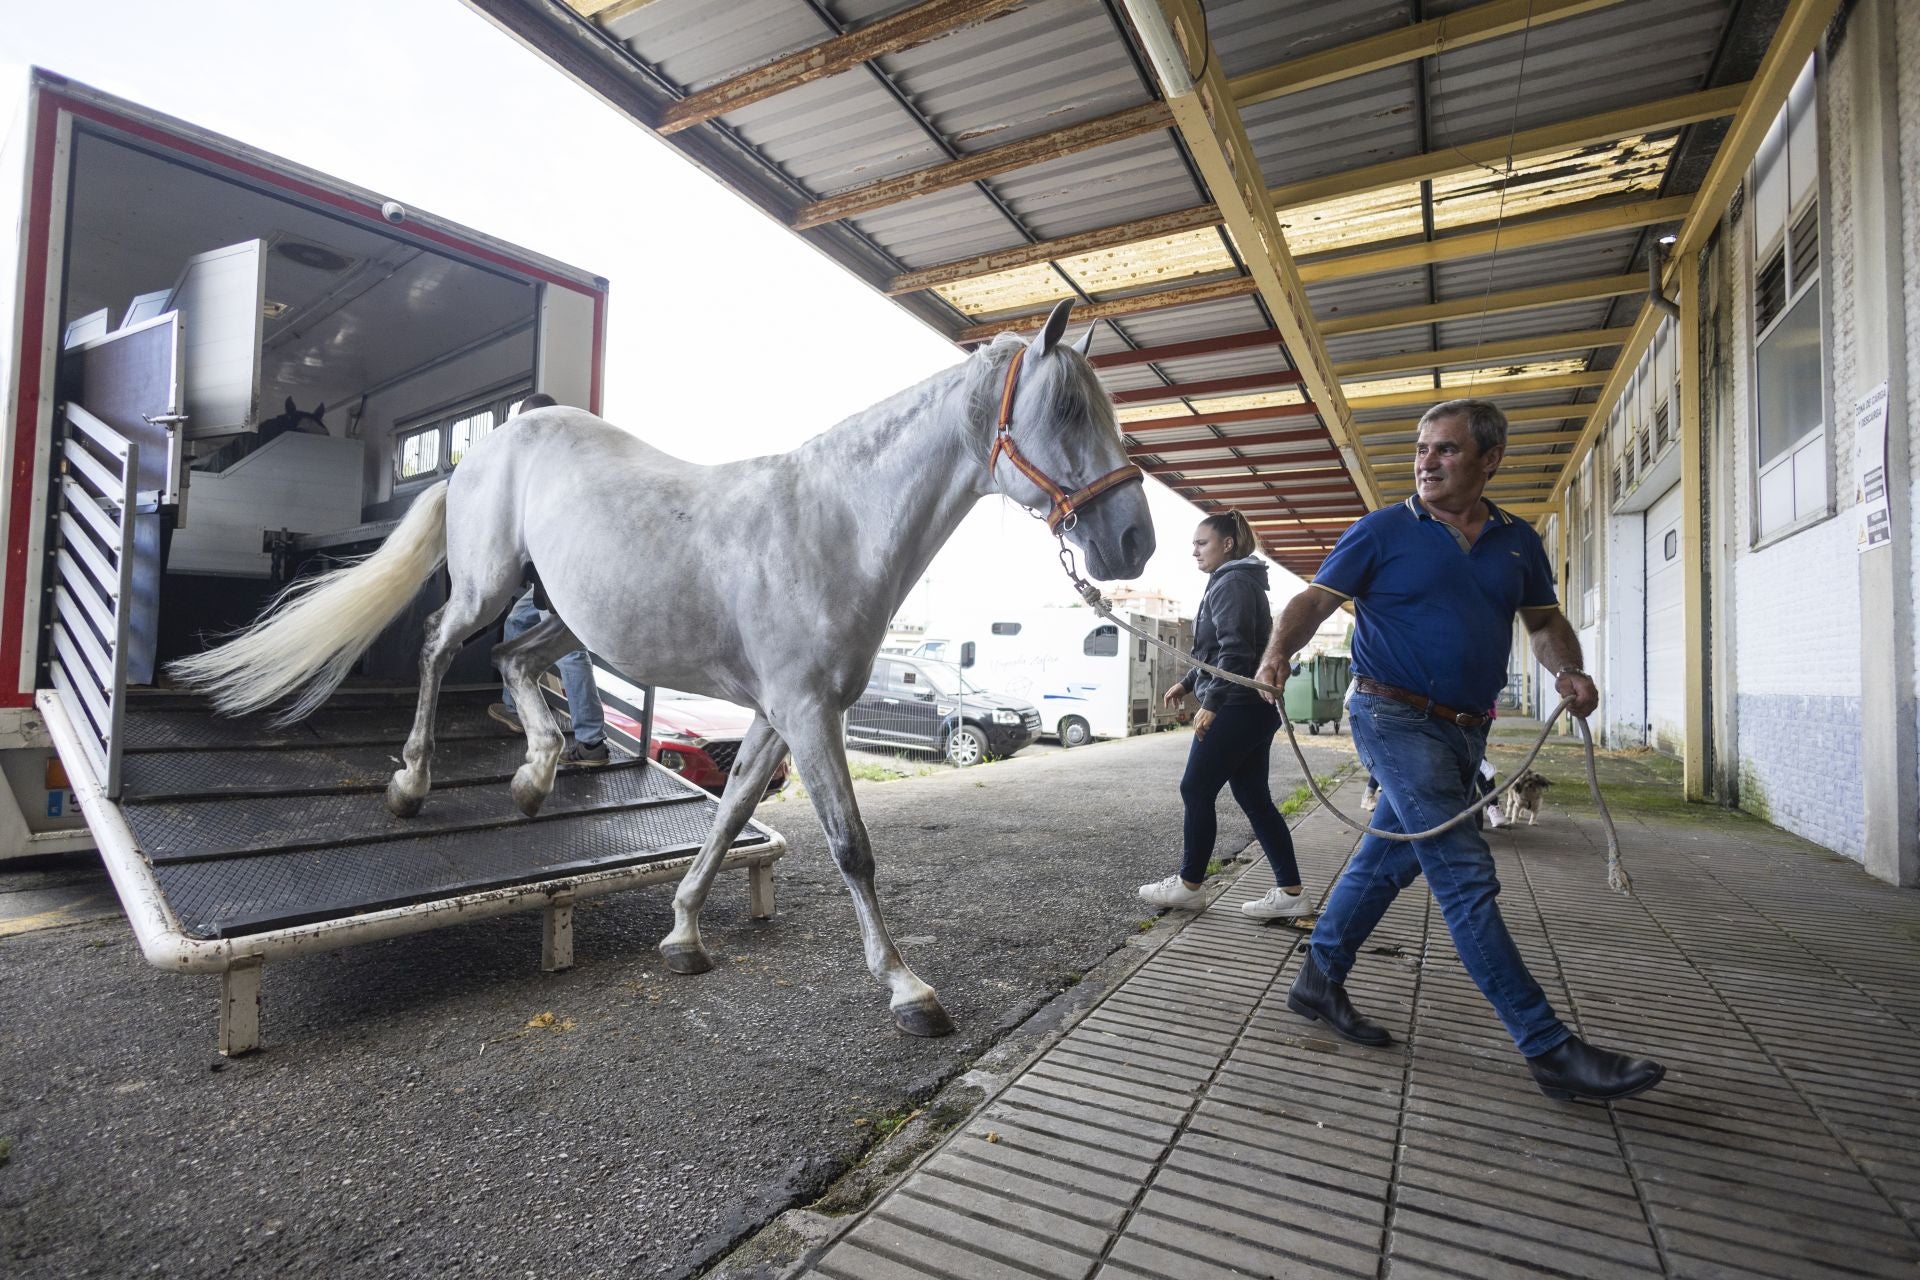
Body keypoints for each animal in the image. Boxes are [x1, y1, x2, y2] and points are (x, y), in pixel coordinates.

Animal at [169, 298, 1155, 1036]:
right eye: (1069, 412)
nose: (1134, 542)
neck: (831, 526)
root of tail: (485, 448)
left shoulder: (775, 717)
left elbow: (729, 816)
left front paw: (683, 934)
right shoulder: (809, 714)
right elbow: (851, 847)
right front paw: (910, 991)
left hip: (567, 621)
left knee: (510, 662)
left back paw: (534, 775)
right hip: (489, 582)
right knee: (442, 647)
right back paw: (412, 783)